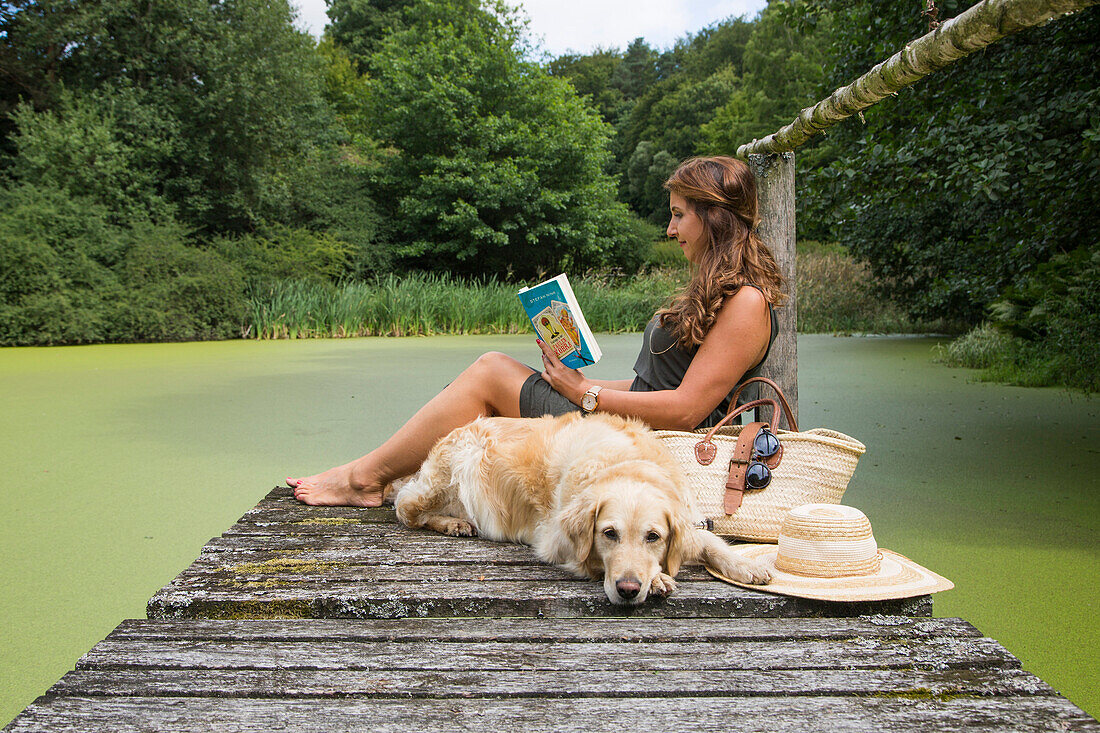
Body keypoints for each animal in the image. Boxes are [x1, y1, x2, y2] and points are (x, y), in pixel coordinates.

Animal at [396, 407, 774, 603]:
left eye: (653, 537)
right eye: (609, 534)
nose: (627, 590)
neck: (624, 464)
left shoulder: (689, 518)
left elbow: (710, 541)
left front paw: (747, 565)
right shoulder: (555, 540)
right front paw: (656, 580)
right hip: (453, 466)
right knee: (406, 509)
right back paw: (453, 523)